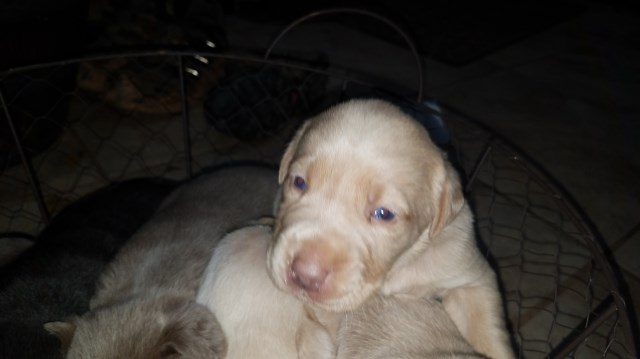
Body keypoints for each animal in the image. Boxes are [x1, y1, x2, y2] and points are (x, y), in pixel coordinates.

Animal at [268, 99, 512, 359]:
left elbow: (487, 333)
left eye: (384, 214)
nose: (305, 275)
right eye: (299, 182)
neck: (394, 270)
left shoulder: (468, 274)